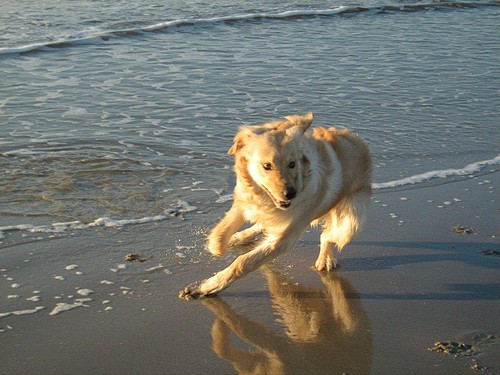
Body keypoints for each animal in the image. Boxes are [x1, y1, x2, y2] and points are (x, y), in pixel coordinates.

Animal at [180, 111, 372, 300]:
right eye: (267, 165)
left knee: (327, 236)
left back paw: (325, 259)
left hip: (349, 222)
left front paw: (205, 287)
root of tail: (360, 142)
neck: (264, 198)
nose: (291, 193)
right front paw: (217, 247)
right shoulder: (244, 202)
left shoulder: (282, 239)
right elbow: (220, 236)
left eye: (292, 164)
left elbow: (242, 263)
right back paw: (240, 237)